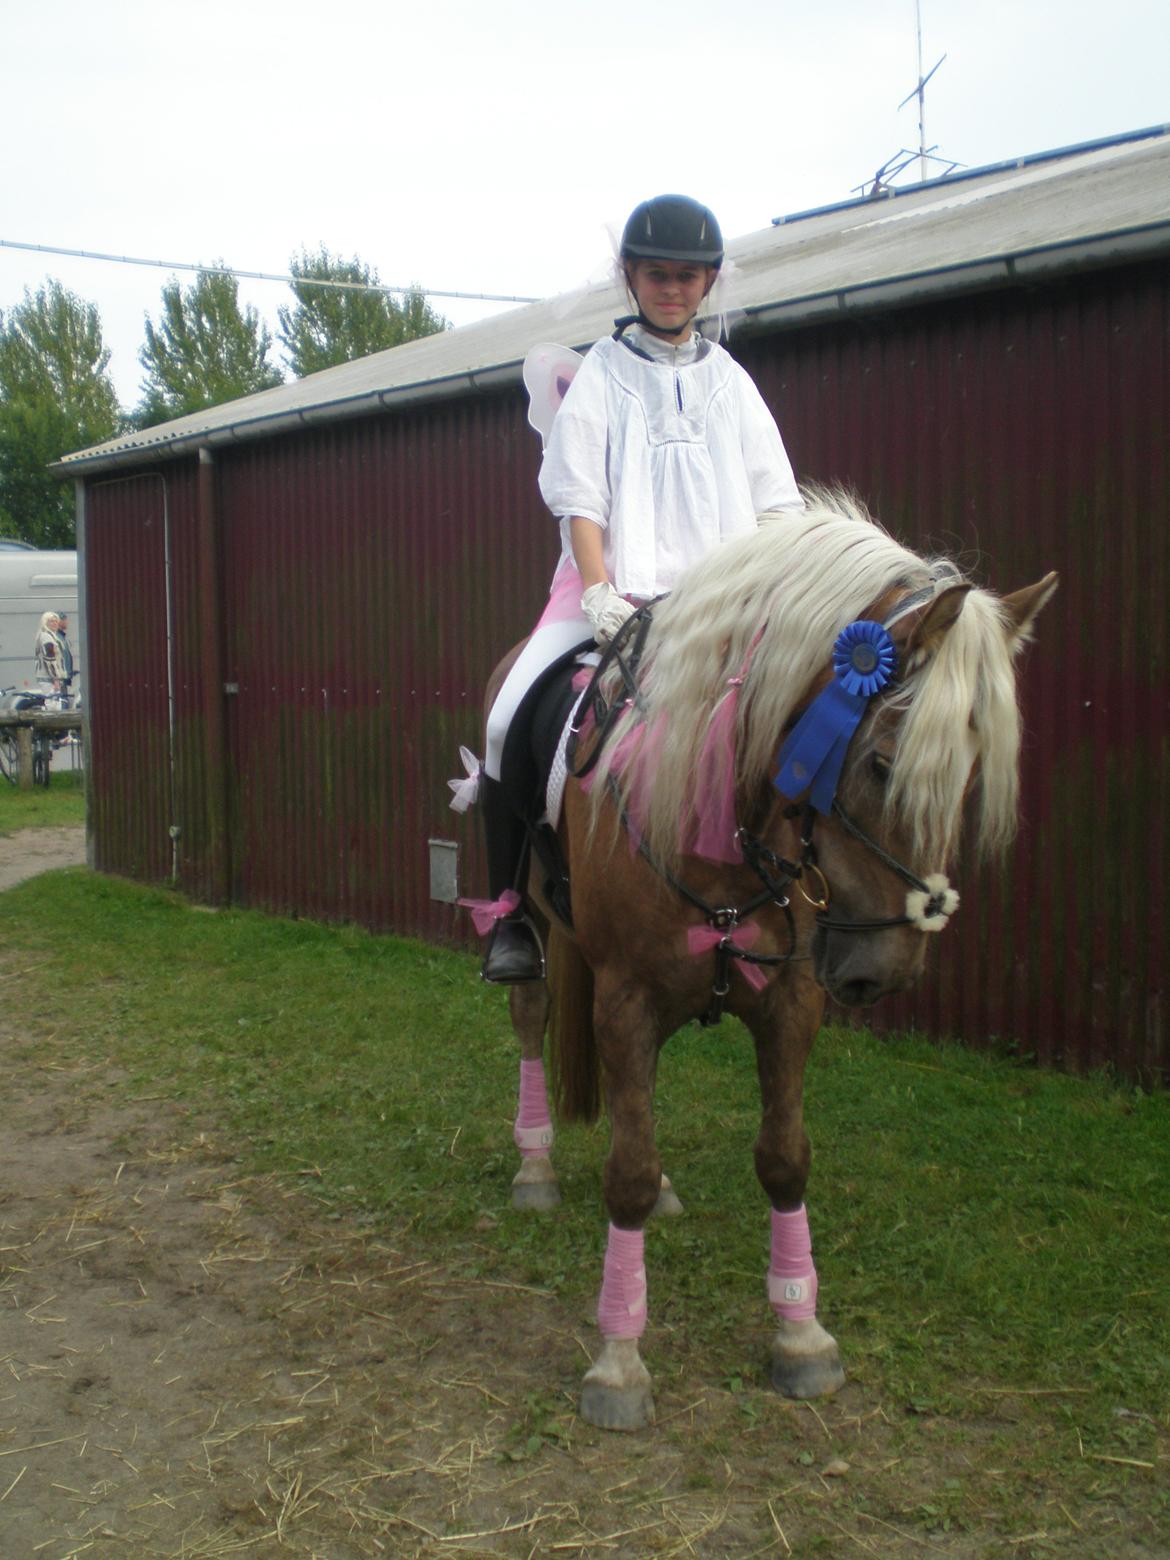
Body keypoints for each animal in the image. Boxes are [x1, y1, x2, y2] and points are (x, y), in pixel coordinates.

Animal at [471, 492, 1060, 1428]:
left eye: (969, 775)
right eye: (880, 762)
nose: (882, 970)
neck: (721, 815)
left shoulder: (790, 1001)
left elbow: (783, 1160)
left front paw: (800, 1334)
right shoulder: (625, 997)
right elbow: (624, 1174)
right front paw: (619, 1361)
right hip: (527, 917)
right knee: (531, 1013)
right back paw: (534, 1163)